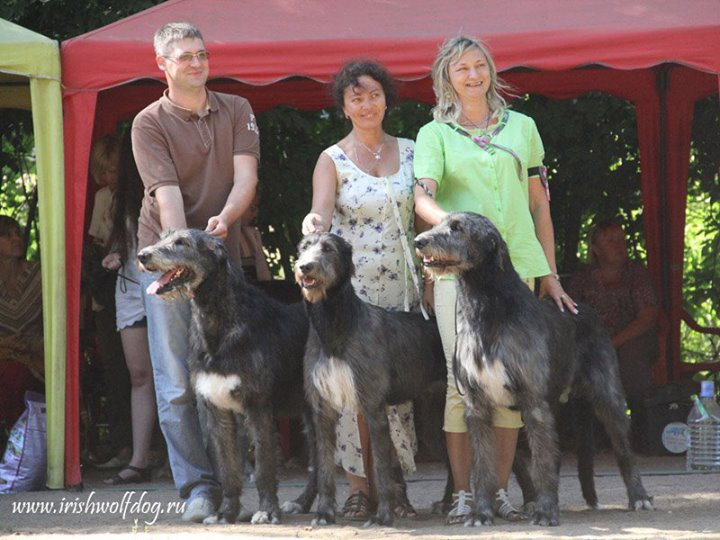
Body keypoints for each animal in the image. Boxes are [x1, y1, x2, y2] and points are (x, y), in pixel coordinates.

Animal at [136, 230, 316, 524]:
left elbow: (264, 468)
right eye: (163, 236)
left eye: (182, 242)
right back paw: (302, 502)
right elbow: (229, 470)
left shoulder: (259, 409)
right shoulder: (218, 411)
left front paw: (267, 511)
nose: (142, 255)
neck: (218, 320)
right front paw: (227, 513)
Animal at [296, 234, 448, 524]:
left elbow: (381, 465)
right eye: (303, 248)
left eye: (328, 249)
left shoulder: (373, 406)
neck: (336, 325)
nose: (305, 267)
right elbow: (324, 468)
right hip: (432, 421)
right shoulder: (322, 411)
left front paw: (384, 515)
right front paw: (324, 513)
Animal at [414, 212, 656, 528]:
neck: (487, 308)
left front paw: (545, 512)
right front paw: (481, 512)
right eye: (439, 222)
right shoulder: (477, 406)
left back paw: (638, 496)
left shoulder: (533, 401)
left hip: (608, 397)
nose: (419, 241)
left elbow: (541, 463)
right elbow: (482, 465)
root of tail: (584, 307)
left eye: (458, 228)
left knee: (623, 448)